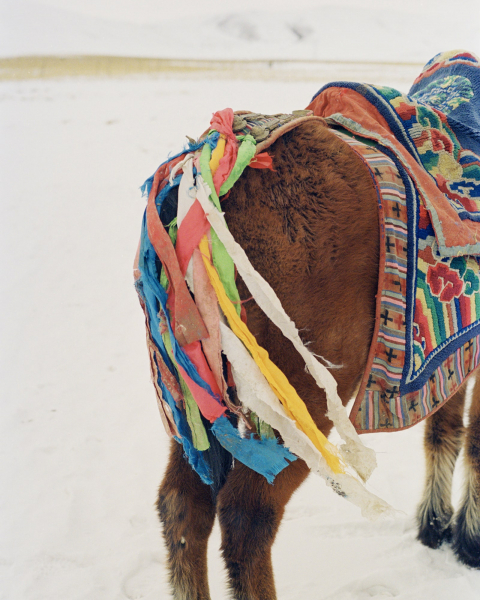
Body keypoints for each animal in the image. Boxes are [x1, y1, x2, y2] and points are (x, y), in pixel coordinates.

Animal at [156, 119, 478, 596]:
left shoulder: (454, 352)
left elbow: (444, 427)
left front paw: (436, 525)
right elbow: (475, 439)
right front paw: (469, 540)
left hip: (198, 395)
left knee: (183, 505)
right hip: (301, 399)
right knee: (247, 516)